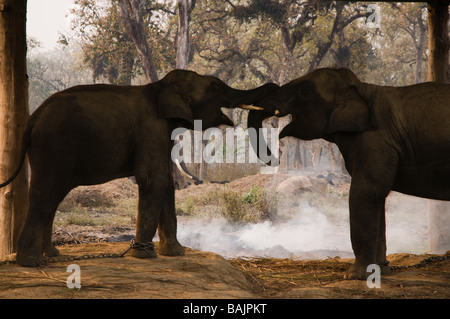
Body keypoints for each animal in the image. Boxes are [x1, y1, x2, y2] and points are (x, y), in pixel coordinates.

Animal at [0, 70, 278, 268]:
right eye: (215, 87)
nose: (275, 87)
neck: (160, 87)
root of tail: (33, 118)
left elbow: (165, 182)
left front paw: (175, 253)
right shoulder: (151, 129)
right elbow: (153, 179)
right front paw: (144, 256)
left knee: (52, 197)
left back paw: (52, 254)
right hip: (53, 148)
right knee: (45, 194)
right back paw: (31, 262)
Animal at [248, 67, 450, 280]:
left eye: (303, 92)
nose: (275, 157)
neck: (362, 89)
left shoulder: (374, 142)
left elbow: (364, 194)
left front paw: (355, 275)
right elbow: (378, 198)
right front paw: (380, 270)